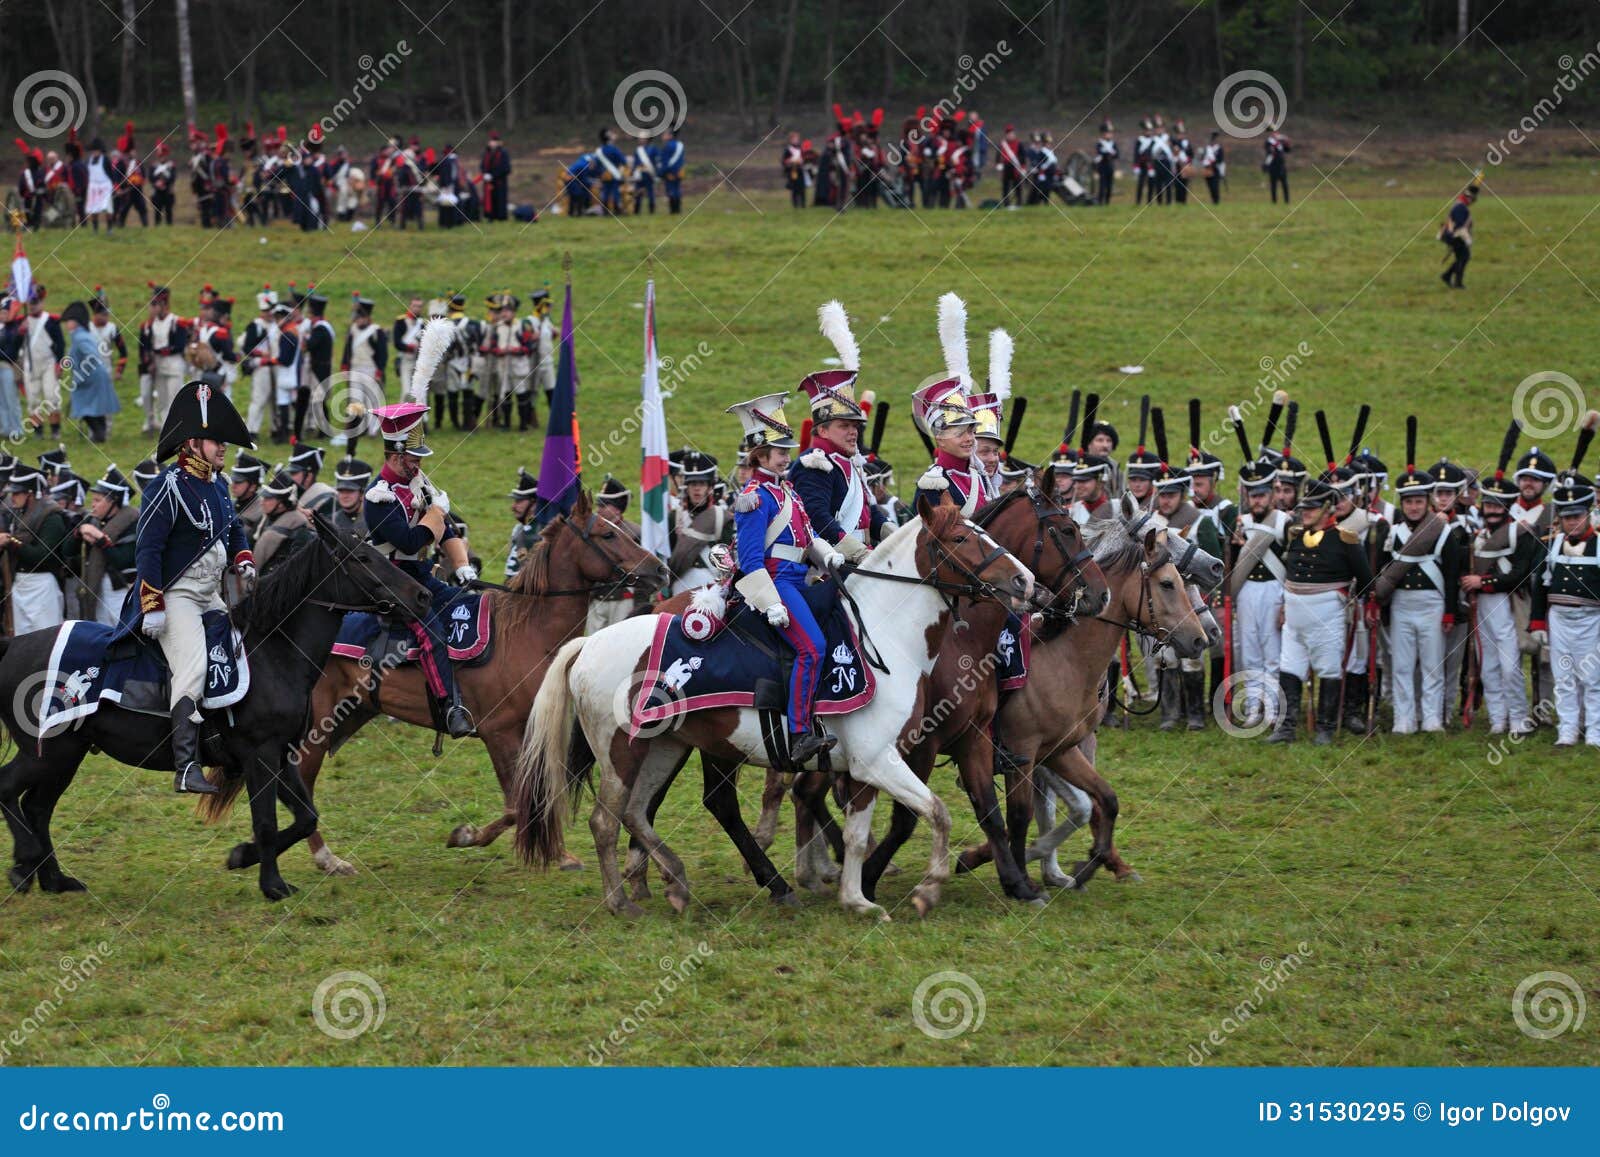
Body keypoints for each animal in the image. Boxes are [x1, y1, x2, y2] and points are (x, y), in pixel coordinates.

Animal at [0, 515, 432, 902]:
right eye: (362, 558)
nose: (422, 597)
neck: (272, 653)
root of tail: (13, 646)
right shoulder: (260, 755)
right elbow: (267, 822)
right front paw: (272, 885)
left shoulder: (282, 754)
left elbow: (306, 815)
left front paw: (242, 856)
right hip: (46, 753)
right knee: (12, 793)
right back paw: (26, 861)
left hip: (65, 756)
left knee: (37, 808)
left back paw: (54, 880)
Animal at [208, 489, 668, 876]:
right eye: (607, 534)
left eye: (625, 529)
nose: (660, 570)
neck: (526, 630)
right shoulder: (498, 734)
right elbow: (514, 805)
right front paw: (466, 835)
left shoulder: (527, 731)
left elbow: (535, 798)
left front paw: (559, 854)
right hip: (317, 727)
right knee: (303, 776)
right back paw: (325, 858)